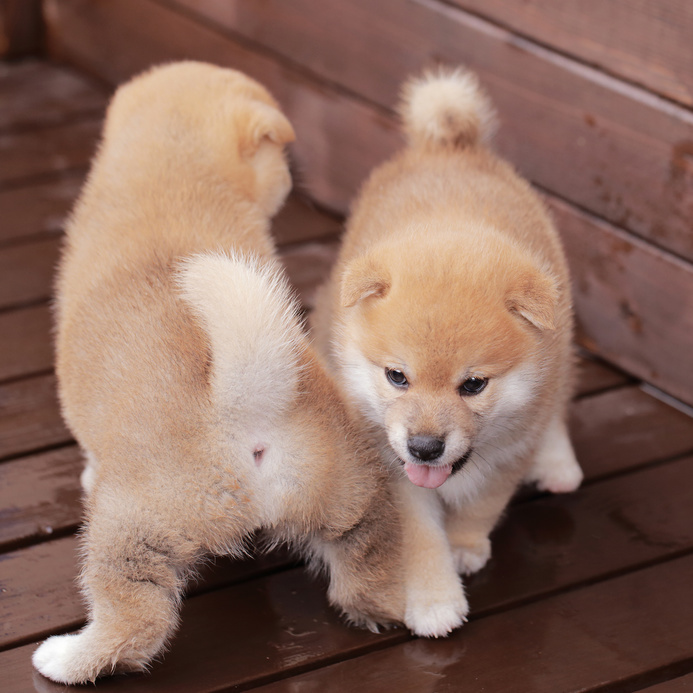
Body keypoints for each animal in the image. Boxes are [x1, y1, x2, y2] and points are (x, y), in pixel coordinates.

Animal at [33, 62, 428, 684]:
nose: (292, 175)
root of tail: (246, 402)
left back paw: (66, 658)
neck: (171, 174)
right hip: (353, 494)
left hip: (132, 529)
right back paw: (378, 611)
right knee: (366, 565)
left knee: (137, 623)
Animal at [310, 67, 580, 628]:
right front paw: (434, 599)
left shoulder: (509, 451)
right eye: (397, 377)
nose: (425, 447)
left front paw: (464, 546)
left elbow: (481, 506)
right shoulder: (391, 468)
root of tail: (447, 145)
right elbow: (418, 539)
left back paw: (559, 462)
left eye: (473, 385)